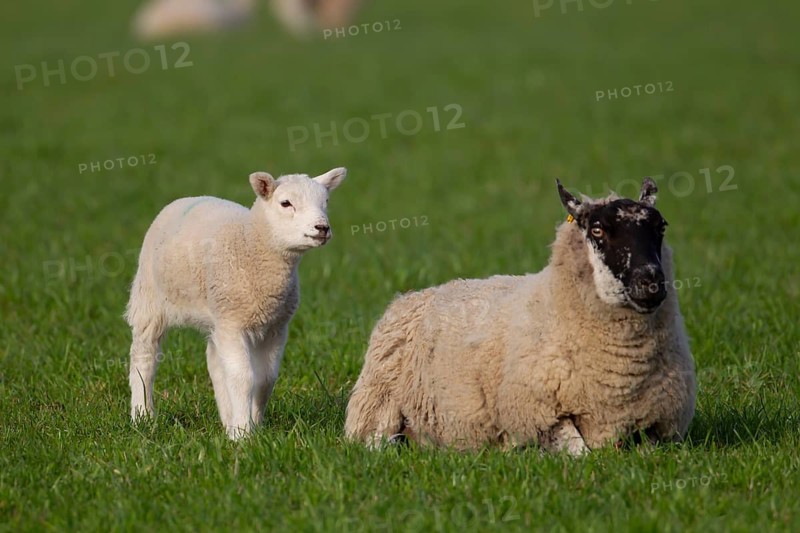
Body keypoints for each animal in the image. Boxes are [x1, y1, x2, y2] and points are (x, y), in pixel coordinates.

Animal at [126, 167, 347, 439]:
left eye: (325, 202)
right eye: (286, 203)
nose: (322, 228)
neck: (253, 244)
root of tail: (186, 199)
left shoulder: (275, 326)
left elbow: (265, 378)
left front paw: (253, 426)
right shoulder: (234, 323)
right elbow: (243, 377)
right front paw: (242, 435)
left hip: (217, 316)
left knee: (215, 362)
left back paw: (226, 420)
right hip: (150, 298)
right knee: (144, 356)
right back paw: (142, 415)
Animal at [345, 178, 696, 454]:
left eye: (661, 227)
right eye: (597, 230)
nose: (651, 282)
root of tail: (411, 296)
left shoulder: (660, 423)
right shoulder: (538, 414)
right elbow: (580, 452)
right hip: (377, 405)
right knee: (376, 440)